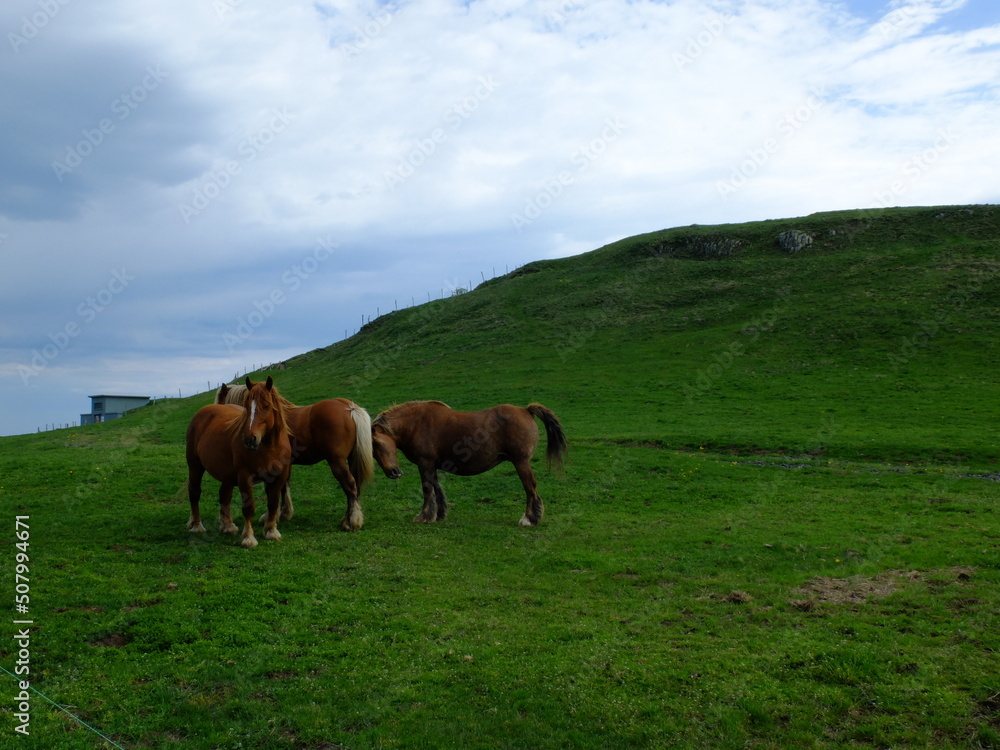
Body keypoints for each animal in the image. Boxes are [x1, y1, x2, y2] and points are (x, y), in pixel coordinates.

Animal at [186, 378, 292, 548]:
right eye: (247, 406)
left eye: (266, 406)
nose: (249, 439)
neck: (270, 446)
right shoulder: (244, 476)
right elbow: (248, 508)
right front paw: (248, 538)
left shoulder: (278, 478)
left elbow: (273, 503)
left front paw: (271, 531)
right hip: (195, 466)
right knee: (195, 492)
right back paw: (197, 525)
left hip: (227, 475)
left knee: (224, 495)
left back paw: (228, 525)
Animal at [216, 384, 376, 532]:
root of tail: (349, 407)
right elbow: (284, 486)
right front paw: (284, 512)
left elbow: (273, 489)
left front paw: (272, 516)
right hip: (352, 459)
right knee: (356, 486)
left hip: (337, 462)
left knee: (349, 484)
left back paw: (350, 522)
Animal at [372, 402, 568, 524]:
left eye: (377, 444)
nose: (393, 473)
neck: (416, 423)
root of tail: (526, 410)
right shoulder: (432, 466)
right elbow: (437, 489)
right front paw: (440, 514)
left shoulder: (425, 464)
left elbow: (428, 490)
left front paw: (424, 516)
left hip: (521, 462)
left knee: (530, 488)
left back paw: (529, 519)